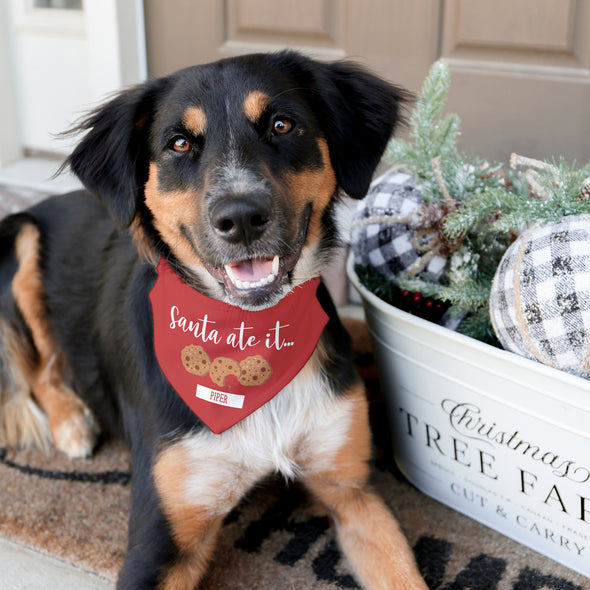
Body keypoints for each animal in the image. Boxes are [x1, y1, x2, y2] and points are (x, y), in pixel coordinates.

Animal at [0, 52, 428, 590]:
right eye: (180, 143)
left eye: (282, 125)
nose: (241, 218)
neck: (248, 338)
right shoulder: (161, 539)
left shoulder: (353, 489)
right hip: (20, 240)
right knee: (39, 365)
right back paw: (72, 422)